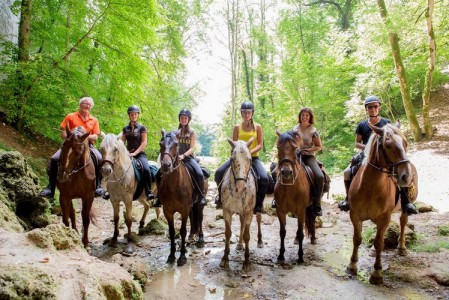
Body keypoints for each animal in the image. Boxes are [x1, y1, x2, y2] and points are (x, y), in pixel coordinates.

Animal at [157, 130, 206, 266]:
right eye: (161, 143)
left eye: (176, 144)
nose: (166, 165)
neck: (175, 185)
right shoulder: (167, 211)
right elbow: (172, 232)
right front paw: (171, 255)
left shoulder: (184, 210)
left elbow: (182, 231)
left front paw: (182, 256)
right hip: (191, 206)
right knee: (193, 217)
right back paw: (191, 236)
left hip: (199, 204)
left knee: (200, 218)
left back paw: (200, 239)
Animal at [220, 138, 258, 272]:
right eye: (232, 159)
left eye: (250, 159)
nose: (240, 187)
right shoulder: (226, 211)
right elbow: (228, 233)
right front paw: (225, 258)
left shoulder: (248, 212)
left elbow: (247, 235)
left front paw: (246, 261)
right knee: (241, 225)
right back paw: (240, 245)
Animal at [272, 130, 316, 264]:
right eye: (278, 147)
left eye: (295, 149)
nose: (286, 172)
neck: (289, 187)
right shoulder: (280, 211)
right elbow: (282, 232)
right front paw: (281, 255)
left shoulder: (301, 210)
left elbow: (301, 232)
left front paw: (300, 256)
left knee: (313, 219)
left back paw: (313, 238)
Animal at [346, 122, 416, 284]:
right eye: (388, 145)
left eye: (405, 143)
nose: (407, 176)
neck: (370, 187)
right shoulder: (355, 215)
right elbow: (357, 239)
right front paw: (352, 265)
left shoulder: (384, 218)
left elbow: (380, 243)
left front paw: (377, 273)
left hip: (403, 209)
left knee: (403, 222)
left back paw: (401, 248)